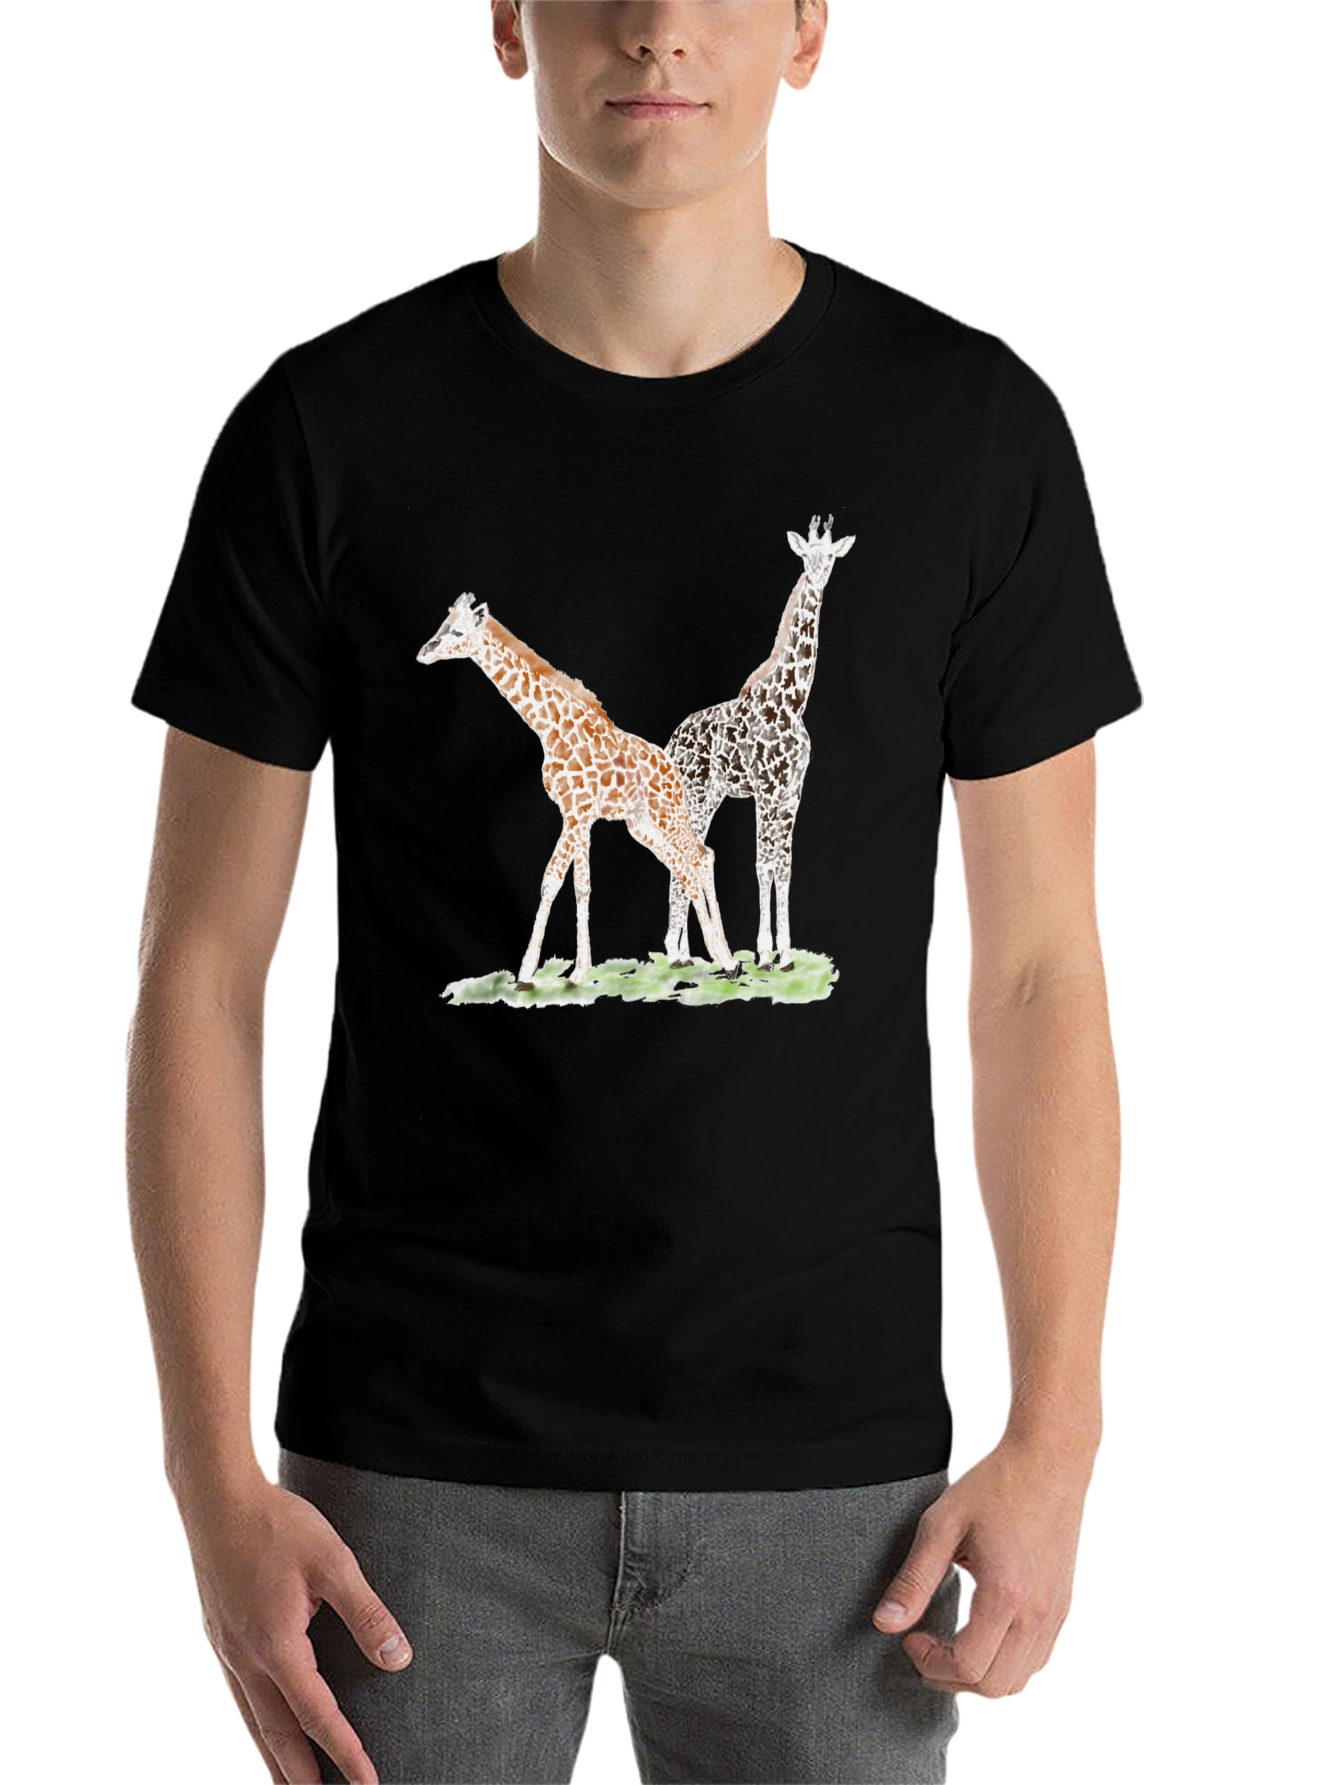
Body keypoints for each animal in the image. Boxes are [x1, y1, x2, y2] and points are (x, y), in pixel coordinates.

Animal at [418, 593, 740, 989]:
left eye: (458, 632)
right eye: (442, 625)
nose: (424, 652)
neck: (550, 728)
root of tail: (673, 770)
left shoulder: (576, 813)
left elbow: (555, 881)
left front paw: (533, 972)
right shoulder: (579, 815)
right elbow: (579, 885)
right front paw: (574, 970)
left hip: (666, 811)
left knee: (697, 858)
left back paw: (726, 958)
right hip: (641, 824)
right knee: (688, 861)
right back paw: (706, 956)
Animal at [663, 515, 855, 971]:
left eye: (831, 555)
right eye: (805, 555)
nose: (816, 578)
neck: (791, 701)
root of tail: (672, 742)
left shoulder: (791, 793)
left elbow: (783, 865)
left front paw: (785, 953)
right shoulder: (766, 792)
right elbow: (762, 863)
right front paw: (766, 953)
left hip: (710, 795)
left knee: (689, 854)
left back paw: (686, 953)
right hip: (696, 793)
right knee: (685, 854)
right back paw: (679, 953)